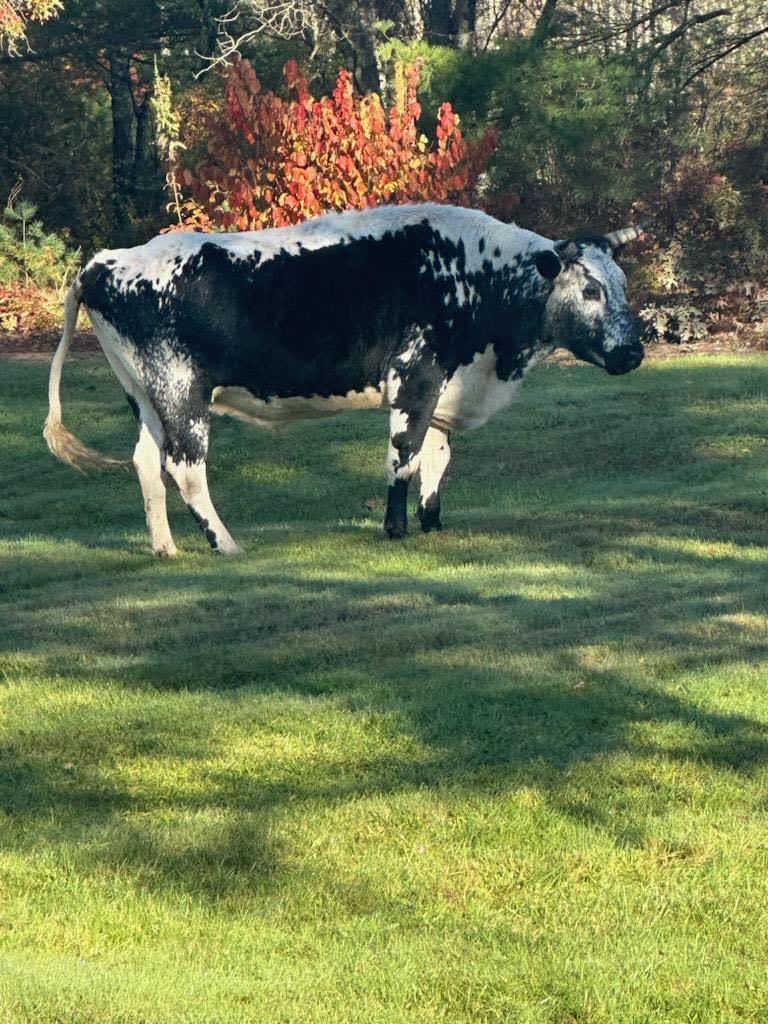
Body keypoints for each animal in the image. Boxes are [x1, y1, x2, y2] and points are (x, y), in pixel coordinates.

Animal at [43, 199, 643, 552]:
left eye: (622, 284)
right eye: (591, 289)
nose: (634, 351)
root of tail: (103, 262)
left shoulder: (445, 388)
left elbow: (437, 459)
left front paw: (433, 523)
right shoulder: (415, 377)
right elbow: (404, 457)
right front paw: (396, 530)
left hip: (145, 396)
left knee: (146, 463)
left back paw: (164, 547)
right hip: (180, 392)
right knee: (184, 467)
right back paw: (225, 544)